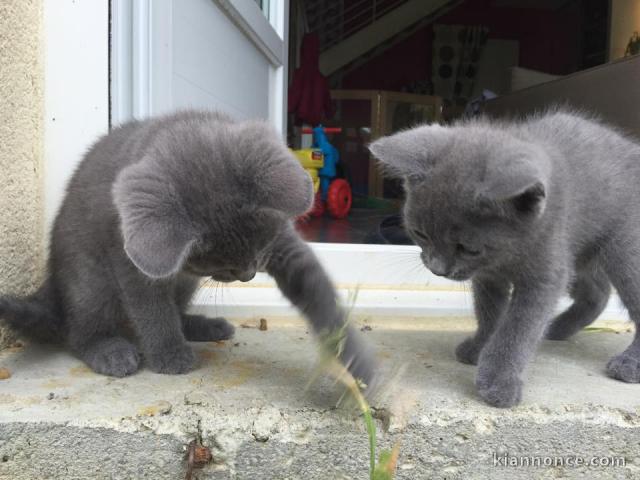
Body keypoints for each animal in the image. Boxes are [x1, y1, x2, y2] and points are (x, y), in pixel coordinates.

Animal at [1, 109, 376, 386]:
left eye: (258, 249)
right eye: (219, 265)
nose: (249, 275)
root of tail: (51, 287)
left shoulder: (281, 243)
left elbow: (316, 289)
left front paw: (354, 359)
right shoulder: (130, 262)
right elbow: (152, 309)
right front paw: (169, 354)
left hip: (181, 286)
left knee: (176, 308)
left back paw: (203, 326)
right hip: (89, 279)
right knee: (79, 328)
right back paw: (108, 350)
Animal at [368, 110, 640, 406]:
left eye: (468, 248)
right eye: (420, 233)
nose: (437, 269)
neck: (507, 256)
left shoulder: (545, 275)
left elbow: (518, 328)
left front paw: (500, 379)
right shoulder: (488, 277)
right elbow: (489, 313)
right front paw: (479, 346)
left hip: (623, 251)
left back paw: (629, 364)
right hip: (580, 254)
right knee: (598, 293)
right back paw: (557, 328)